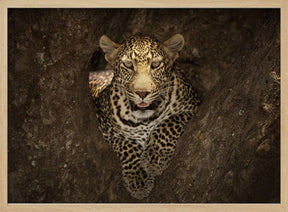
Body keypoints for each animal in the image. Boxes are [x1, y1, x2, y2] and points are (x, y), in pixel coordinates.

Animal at [90, 33, 200, 199]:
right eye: (128, 65)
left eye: (155, 64)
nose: (142, 93)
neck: (144, 120)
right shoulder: (106, 127)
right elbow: (126, 146)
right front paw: (138, 179)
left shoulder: (193, 106)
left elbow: (169, 122)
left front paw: (155, 158)